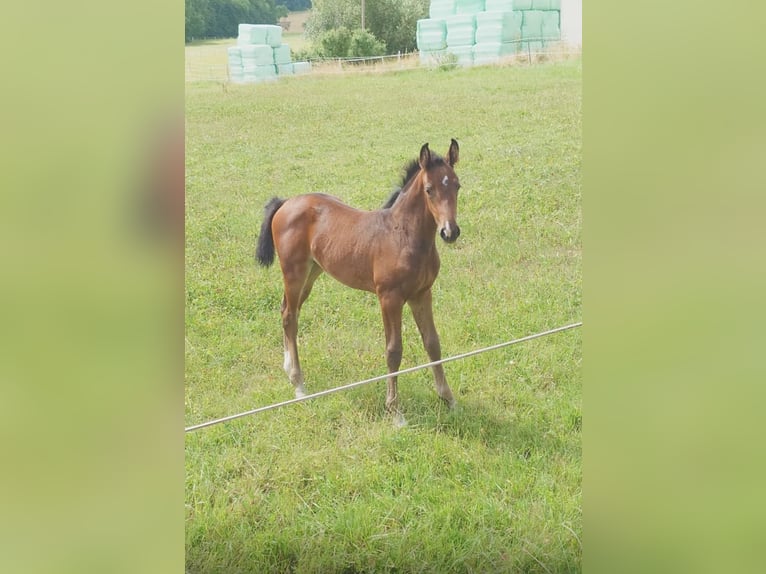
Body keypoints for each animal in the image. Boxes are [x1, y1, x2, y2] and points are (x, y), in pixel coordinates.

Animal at [255, 139, 461, 425]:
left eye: (457, 185)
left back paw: (289, 371)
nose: (449, 232)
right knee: (289, 315)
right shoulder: (389, 298)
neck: (403, 236)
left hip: (313, 272)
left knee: (289, 310)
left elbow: (433, 343)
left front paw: (449, 400)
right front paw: (395, 412)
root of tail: (286, 203)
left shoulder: (422, 293)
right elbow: (394, 351)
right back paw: (299, 384)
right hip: (293, 272)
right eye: (429, 190)